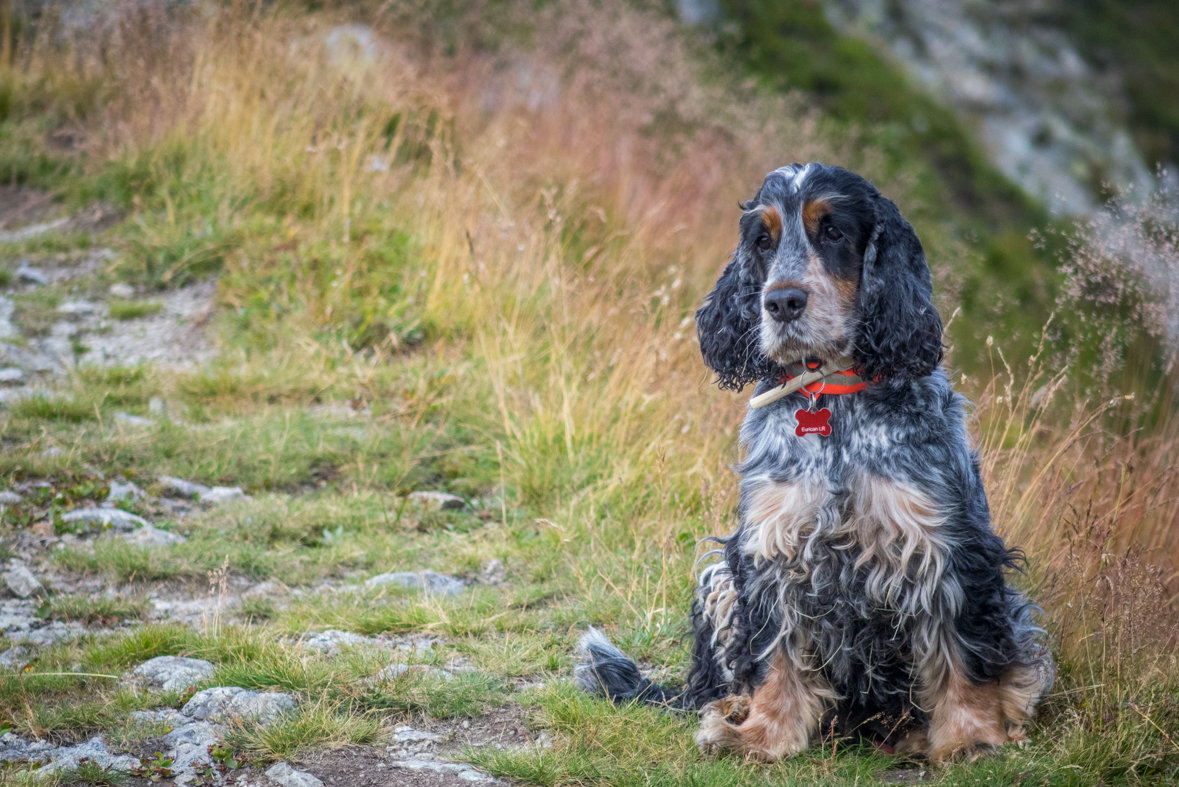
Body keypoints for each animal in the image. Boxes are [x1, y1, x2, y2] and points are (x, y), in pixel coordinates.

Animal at [575, 164, 1056, 763]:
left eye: (833, 232)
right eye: (763, 240)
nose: (781, 301)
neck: (833, 399)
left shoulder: (945, 544)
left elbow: (960, 651)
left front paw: (971, 738)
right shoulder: (771, 547)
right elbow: (776, 657)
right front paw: (761, 737)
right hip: (719, 576)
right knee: (722, 678)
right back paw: (728, 711)